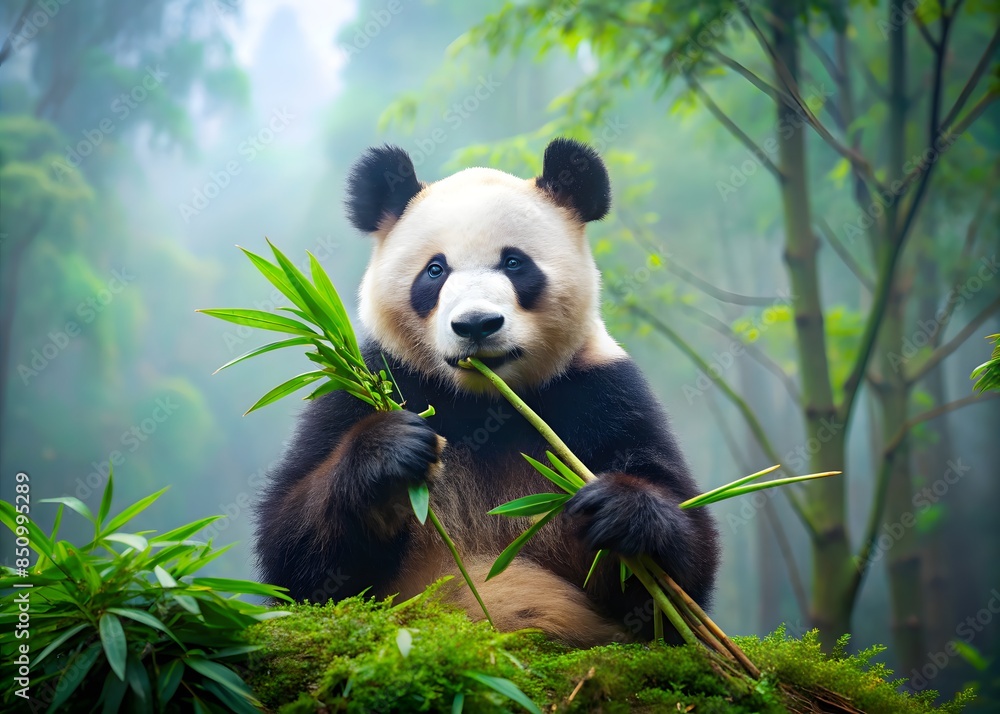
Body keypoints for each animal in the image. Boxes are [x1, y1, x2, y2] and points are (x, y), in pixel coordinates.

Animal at [255, 138, 719, 647]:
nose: (476, 324)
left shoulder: (601, 391)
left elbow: (680, 578)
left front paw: (616, 509)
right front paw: (392, 452)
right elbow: (297, 555)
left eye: (514, 263)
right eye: (435, 270)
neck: (484, 400)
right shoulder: (370, 382)